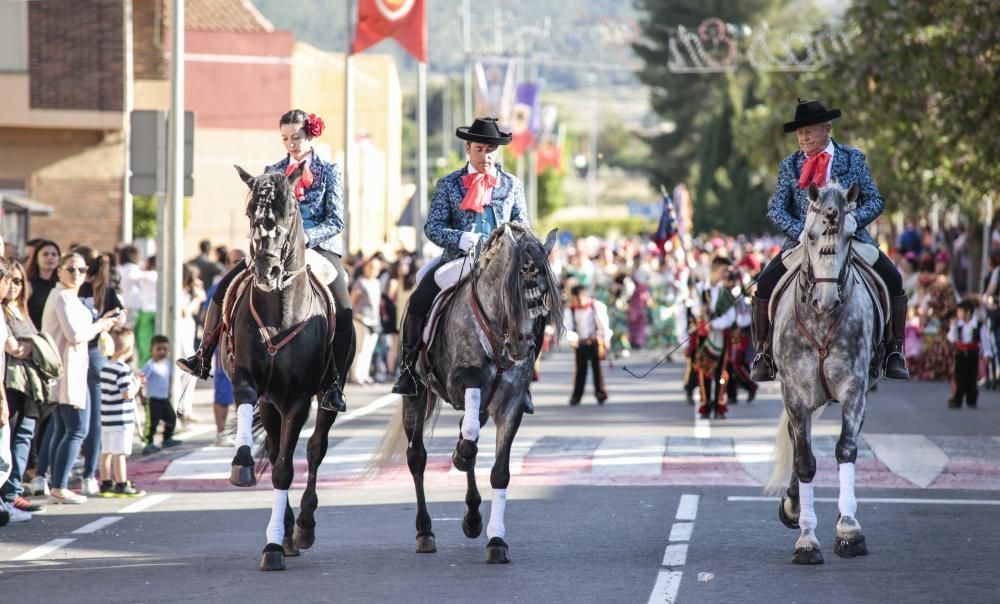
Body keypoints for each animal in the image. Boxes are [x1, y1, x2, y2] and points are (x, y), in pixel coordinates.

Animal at [222, 165, 340, 572]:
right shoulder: (249, 379)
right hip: (270, 402)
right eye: (249, 213)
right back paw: (288, 530)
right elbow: (248, 413)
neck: (278, 312)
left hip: (321, 398)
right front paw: (241, 464)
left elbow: (287, 469)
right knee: (275, 450)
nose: (266, 271)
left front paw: (274, 545)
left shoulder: (298, 398)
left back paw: (301, 527)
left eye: (289, 212)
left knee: (314, 450)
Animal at [374, 224, 564, 564]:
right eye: (513, 290)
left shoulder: (511, 405)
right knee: (417, 456)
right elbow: (469, 435)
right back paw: (425, 531)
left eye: (542, 295)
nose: (521, 347)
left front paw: (496, 541)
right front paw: (460, 455)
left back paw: (473, 518)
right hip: (415, 396)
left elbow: (499, 472)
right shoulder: (463, 380)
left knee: (468, 438)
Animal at [764, 182, 884, 564]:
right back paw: (792, 506)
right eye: (812, 235)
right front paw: (806, 539)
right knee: (795, 436)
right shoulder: (795, 393)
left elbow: (846, 450)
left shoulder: (853, 387)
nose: (827, 299)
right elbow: (804, 460)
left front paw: (848, 530)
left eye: (848, 236)